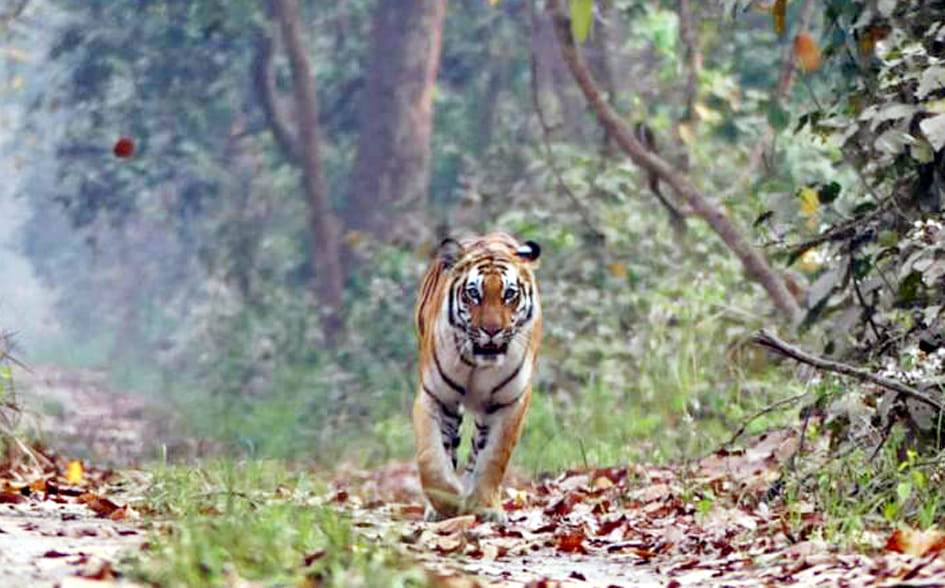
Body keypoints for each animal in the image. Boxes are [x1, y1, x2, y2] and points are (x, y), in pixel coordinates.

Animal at [413, 232, 542, 522]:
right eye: (474, 293)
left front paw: (485, 506)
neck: (478, 364)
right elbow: (431, 457)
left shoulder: (510, 402)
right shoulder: (434, 396)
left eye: (509, 294)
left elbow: (493, 458)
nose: (492, 330)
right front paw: (448, 504)